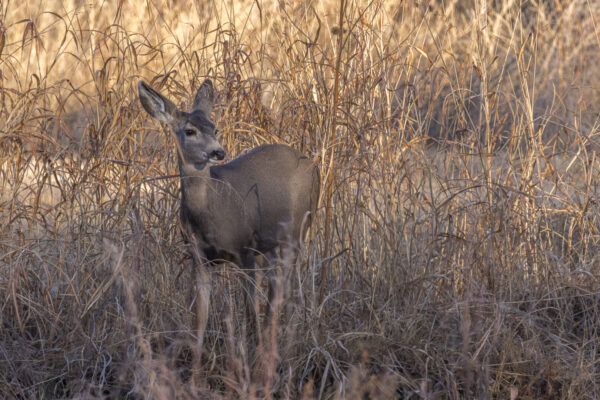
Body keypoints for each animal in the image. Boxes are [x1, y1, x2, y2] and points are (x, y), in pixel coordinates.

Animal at [139, 79, 322, 354]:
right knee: (277, 285)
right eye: (190, 131)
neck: (212, 212)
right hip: (271, 244)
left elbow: (249, 312)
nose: (218, 152)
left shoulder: (246, 249)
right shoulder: (199, 258)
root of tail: (313, 165)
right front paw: (196, 362)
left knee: (286, 287)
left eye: (214, 128)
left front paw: (255, 354)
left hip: (298, 229)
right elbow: (199, 321)